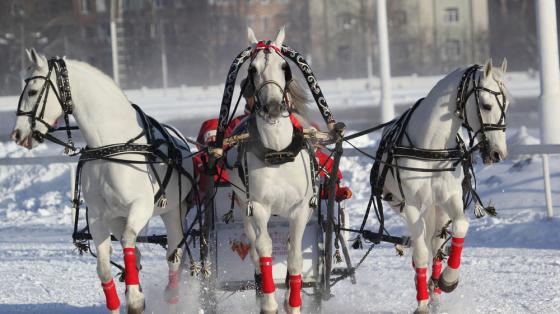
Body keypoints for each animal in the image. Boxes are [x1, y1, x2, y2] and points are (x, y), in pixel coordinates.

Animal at [10, 48, 194, 312]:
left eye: (33, 91)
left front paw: (135, 300)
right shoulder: (98, 216)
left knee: (173, 255)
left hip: (173, 212)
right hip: (118, 217)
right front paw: (124, 298)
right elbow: (105, 267)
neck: (110, 147)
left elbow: (129, 240)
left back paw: (171, 296)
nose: (17, 134)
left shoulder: (141, 207)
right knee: (138, 254)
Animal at [225, 28, 318, 312]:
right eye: (252, 69)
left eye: (284, 67)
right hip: (243, 207)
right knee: (255, 249)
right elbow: (264, 249)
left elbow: (295, 256)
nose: (274, 107)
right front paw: (269, 303)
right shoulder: (258, 207)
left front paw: (293, 304)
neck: (277, 152)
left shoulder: (301, 209)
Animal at [374, 59, 510, 312]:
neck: (432, 147)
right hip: (407, 206)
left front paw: (448, 279)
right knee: (424, 244)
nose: (499, 153)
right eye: (486, 105)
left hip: (436, 209)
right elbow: (420, 252)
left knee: (436, 243)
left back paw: (435, 289)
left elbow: (460, 226)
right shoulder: (411, 206)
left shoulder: (449, 197)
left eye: (506, 104)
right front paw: (421, 303)